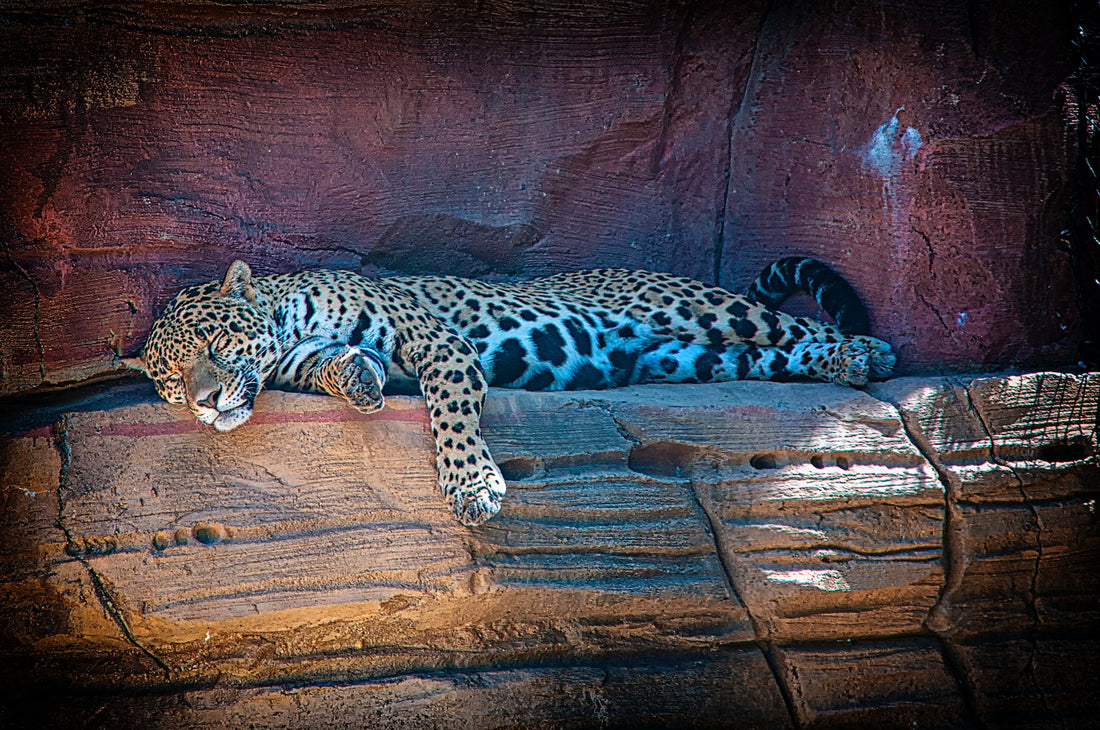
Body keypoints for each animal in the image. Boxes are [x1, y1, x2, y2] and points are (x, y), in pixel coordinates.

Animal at [124, 255, 893, 525]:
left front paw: (472, 486)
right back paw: (848, 363)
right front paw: (361, 380)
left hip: (693, 309)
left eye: (210, 345)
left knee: (795, 324)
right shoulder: (307, 359)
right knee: (776, 354)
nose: (204, 404)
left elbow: (449, 414)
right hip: (693, 359)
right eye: (169, 383)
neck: (287, 322)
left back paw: (868, 351)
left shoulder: (440, 345)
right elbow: (340, 366)